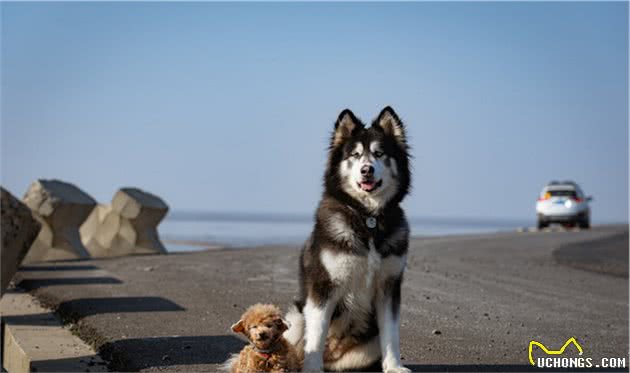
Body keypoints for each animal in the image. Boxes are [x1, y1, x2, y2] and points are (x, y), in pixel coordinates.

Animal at [284, 106, 412, 370]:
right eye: (355, 154)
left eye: (379, 153)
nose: (366, 170)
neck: (368, 218)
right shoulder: (323, 286)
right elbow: (317, 333)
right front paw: (312, 369)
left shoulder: (389, 286)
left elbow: (391, 333)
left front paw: (394, 366)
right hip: (295, 317)